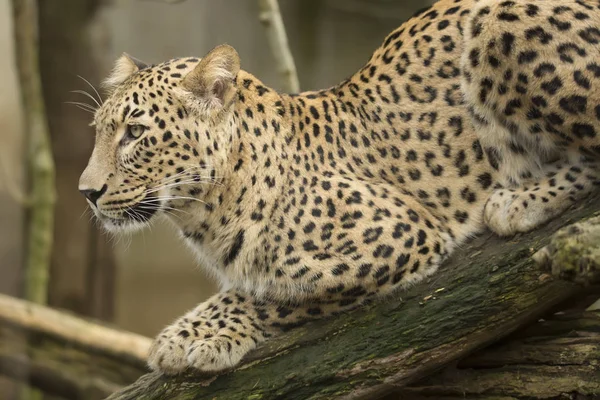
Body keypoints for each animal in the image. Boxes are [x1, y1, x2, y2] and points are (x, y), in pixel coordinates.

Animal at [79, 0, 600, 376]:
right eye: (100, 130)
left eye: (135, 133)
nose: (87, 191)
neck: (203, 212)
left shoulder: (400, 235)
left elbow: (273, 294)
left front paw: (194, 337)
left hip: (500, 17)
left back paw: (519, 200)